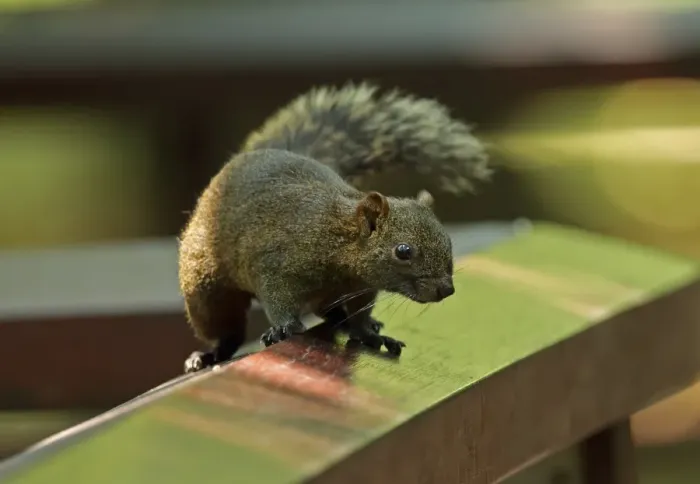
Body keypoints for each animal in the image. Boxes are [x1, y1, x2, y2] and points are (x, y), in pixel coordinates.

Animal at [178, 82, 491, 373]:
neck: (336, 238)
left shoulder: (362, 288)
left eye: (447, 240)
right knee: (226, 330)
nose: (446, 289)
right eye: (403, 251)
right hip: (207, 291)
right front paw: (283, 328)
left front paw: (368, 333)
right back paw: (208, 355)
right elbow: (278, 300)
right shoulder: (275, 264)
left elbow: (360, 316)